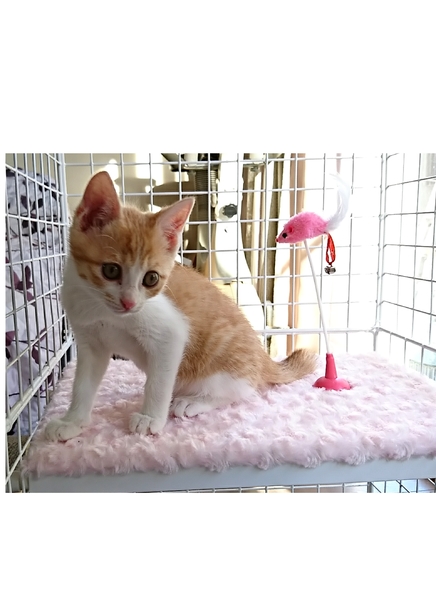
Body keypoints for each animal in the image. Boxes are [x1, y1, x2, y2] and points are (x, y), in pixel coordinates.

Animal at [45, 171, 317, 441]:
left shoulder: (170, 335)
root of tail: (263, 359)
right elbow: (82, 385)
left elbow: (158, 382)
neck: (101, 309)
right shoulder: (91, 342)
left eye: (151, 278)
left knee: (243, 391)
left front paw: (151, 418)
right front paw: (72, 422)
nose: (129, 302)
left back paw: (193, 402)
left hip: (221, 368)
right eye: (110, 270)